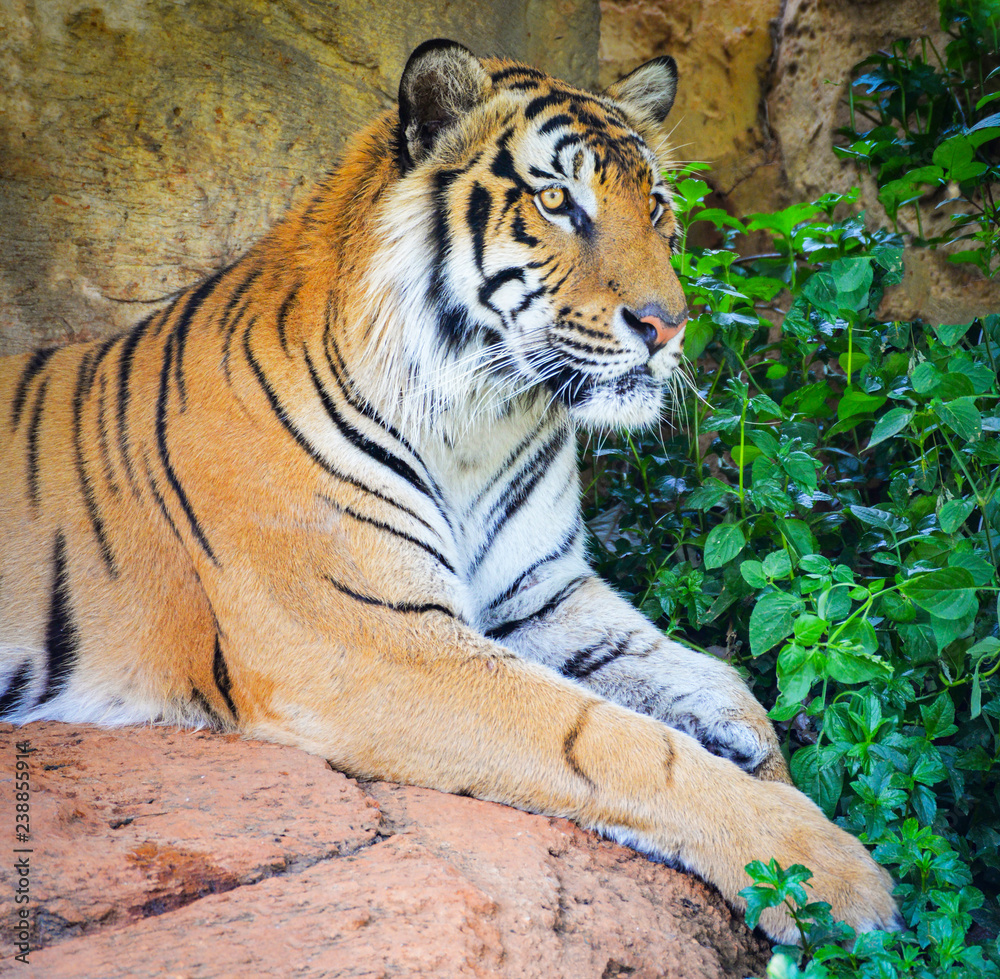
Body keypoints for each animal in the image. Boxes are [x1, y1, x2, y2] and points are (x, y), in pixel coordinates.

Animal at [0, 39, 899, 943]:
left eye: (655, 207)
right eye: (556, 200)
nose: (667, 326)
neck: (480, 419)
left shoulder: (541, 592)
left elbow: (719, 682)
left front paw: (776, 773)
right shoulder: (367, 639)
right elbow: (603, 737)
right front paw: (825, 871)